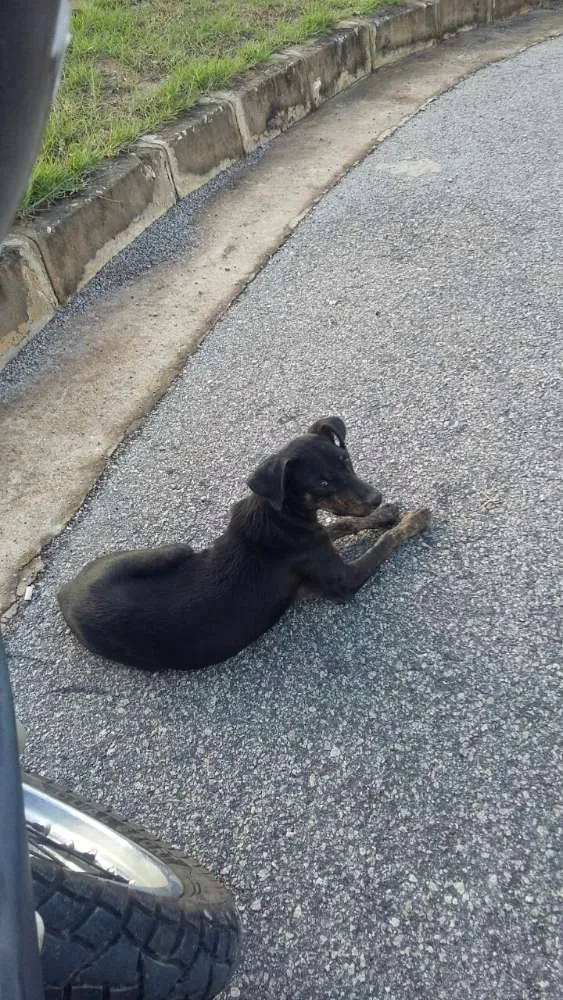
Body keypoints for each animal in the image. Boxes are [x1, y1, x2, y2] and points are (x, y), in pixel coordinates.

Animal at [58, 418, 432, 668]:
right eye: (323, 483)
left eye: (346, 461)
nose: (375, 497)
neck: (282, 514)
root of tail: (66, 593)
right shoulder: (343, 580)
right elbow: (383, 544)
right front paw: (413, 520)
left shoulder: (316, 536)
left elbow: (343, 523)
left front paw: (385, 513)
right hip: (175, 549)